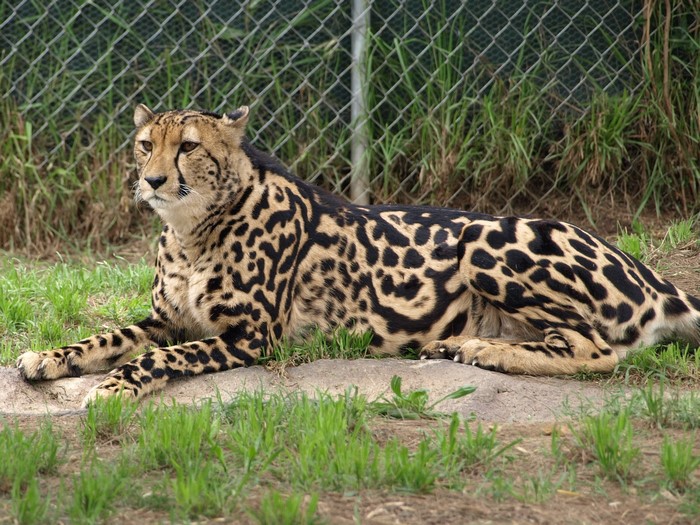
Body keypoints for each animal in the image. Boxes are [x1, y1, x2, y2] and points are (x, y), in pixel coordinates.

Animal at [16, 104, 700, 407]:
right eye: (143, 144)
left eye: (187, 147)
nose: (152, 181)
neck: (192, 228)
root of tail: (647, 271)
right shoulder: (167, 319)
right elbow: (107, 335)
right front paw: (49, 358)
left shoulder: (252, 338)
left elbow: (160, 358)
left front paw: (113, 386)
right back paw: (464, 345)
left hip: (486, 234)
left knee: (598, 351)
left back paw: (481, 350)